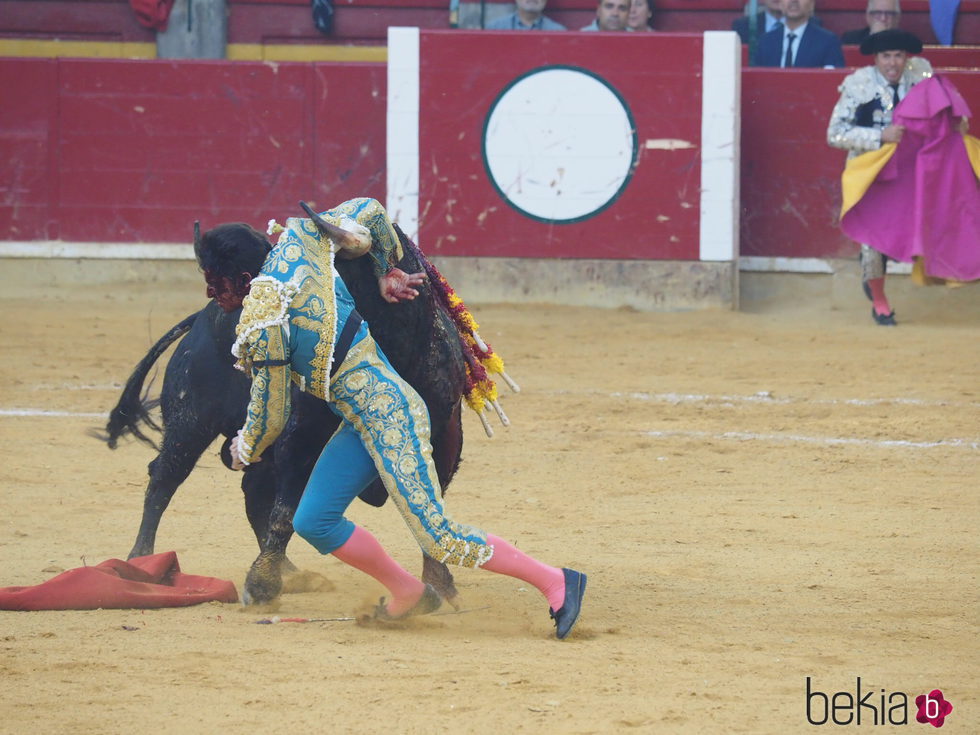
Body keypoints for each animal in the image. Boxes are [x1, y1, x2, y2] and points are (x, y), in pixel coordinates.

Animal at [98, 229, 468, 604]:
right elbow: (286, 510)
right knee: (164, 478)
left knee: (252, 490)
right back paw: (141, 559)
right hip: (190, 422)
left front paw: (439, 581)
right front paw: (261, 584)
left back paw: (289, 570)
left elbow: (430, 504)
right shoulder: (301, 433)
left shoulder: (445, 434)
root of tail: (201, 319)